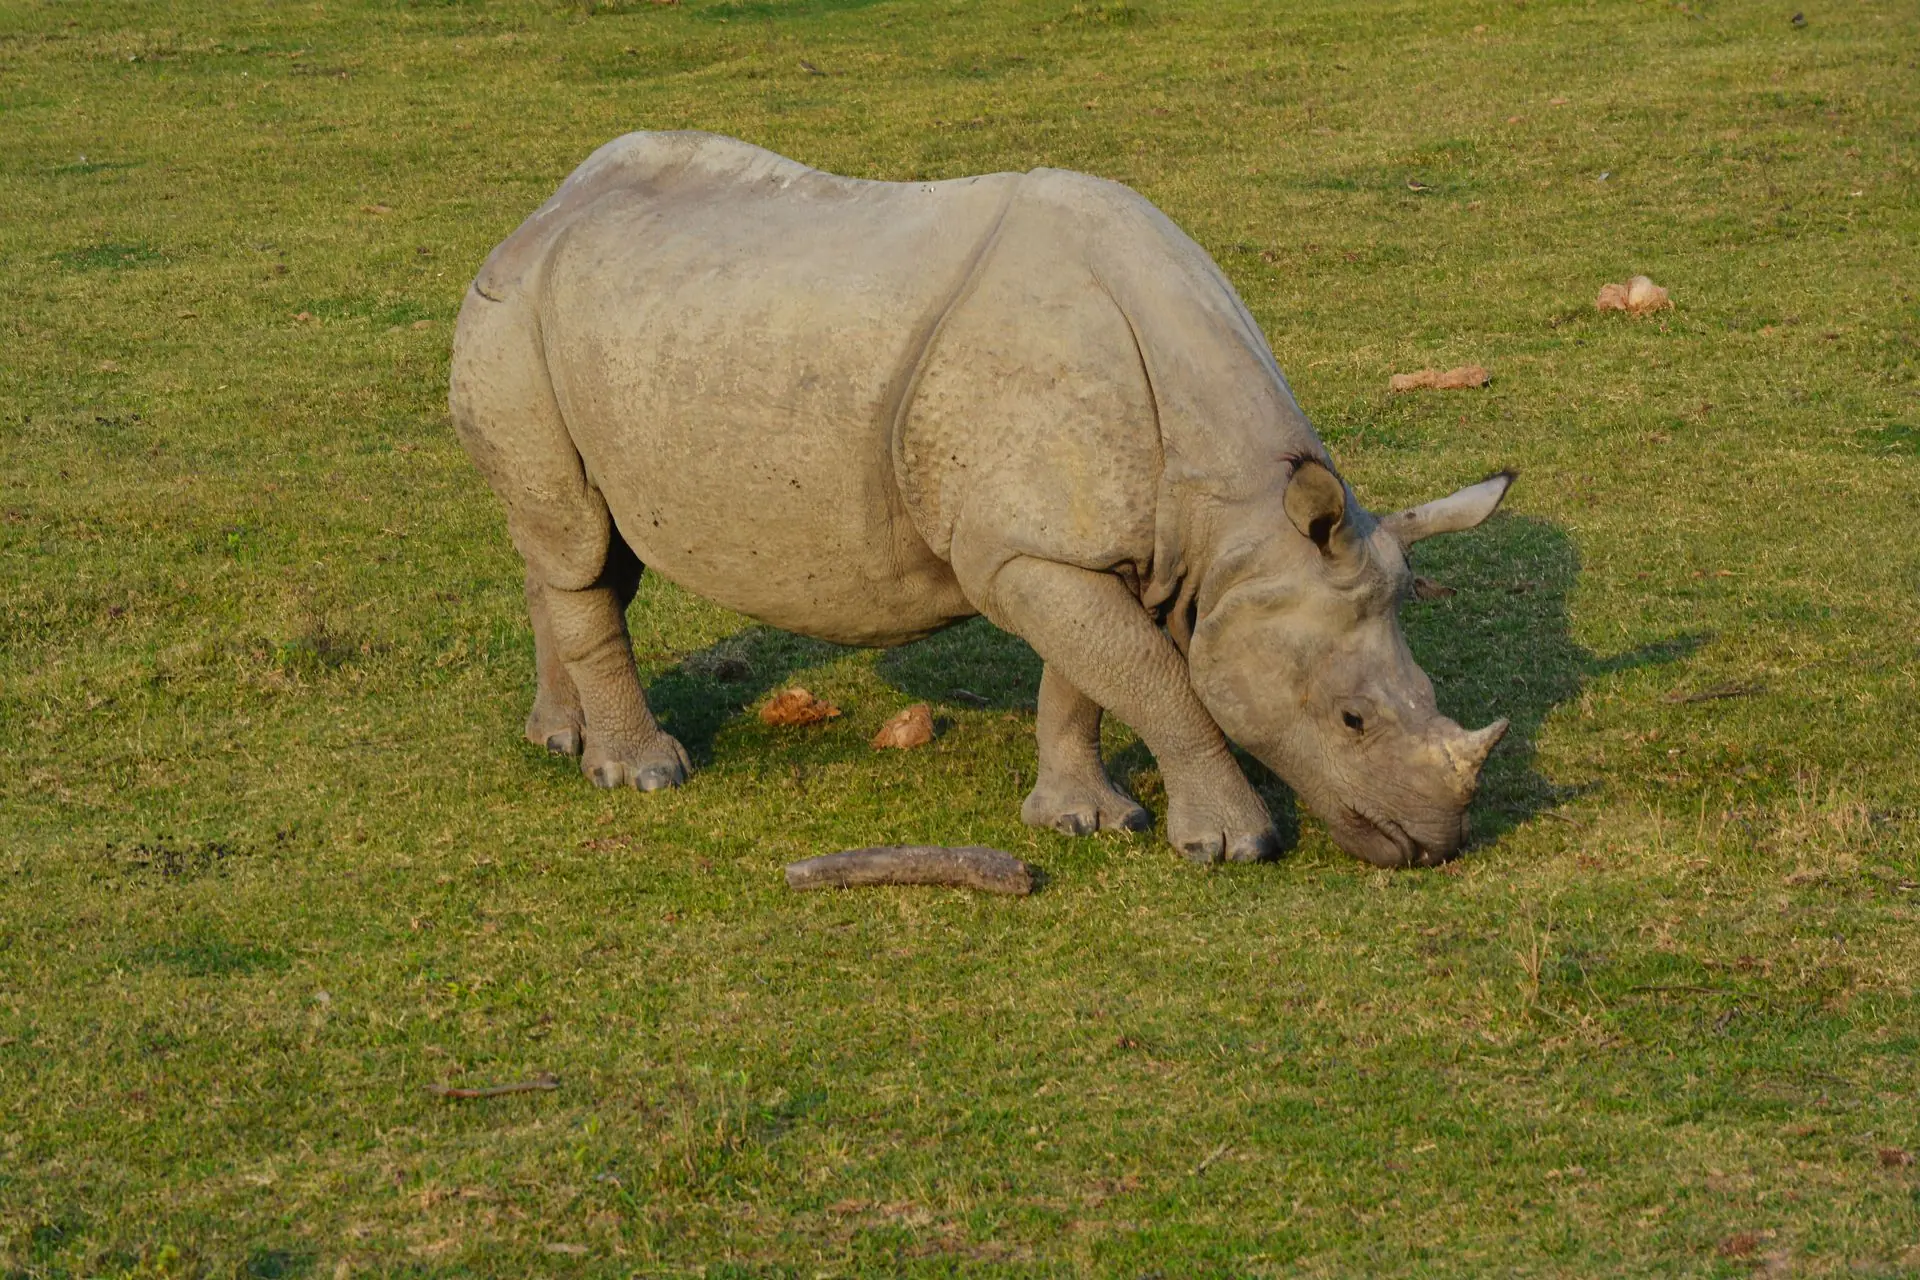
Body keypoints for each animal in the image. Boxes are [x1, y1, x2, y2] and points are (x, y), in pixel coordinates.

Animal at [451, 131, 1514, 868]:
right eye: (1352, 721)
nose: (1434, 845)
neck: (1238, 525)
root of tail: (545, 210)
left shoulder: (1070, 546)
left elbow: (1086, 677)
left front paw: (1083, 821)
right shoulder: (1030, 550)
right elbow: (1153, 676)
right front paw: (1231, 846)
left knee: (583, 546)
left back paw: (557, 741)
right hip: (511, 318)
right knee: (578, 543)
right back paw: (645, 775)